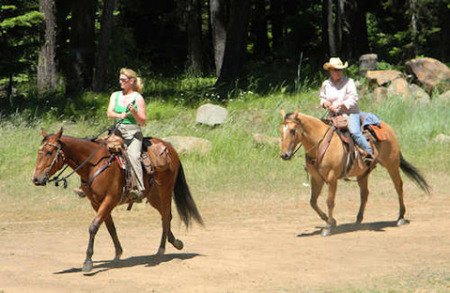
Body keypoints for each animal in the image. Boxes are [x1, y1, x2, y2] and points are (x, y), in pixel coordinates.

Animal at [29, 128, 202, 272]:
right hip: (152, 195)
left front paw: (88, 261)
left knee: (166, 216)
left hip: (165, 190)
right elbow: (110, 227)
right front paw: (118, 253)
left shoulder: (109, 200)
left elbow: (93, 227)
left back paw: (161, 250)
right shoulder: (96, 203)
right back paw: (175, 242)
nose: (36, 179)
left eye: (49, 152)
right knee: (166, 215)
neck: (94, 164)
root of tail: (170, 148)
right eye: (39, 152)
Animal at [280, 109, 430, 235]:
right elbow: (313, 201)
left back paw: (400, 217)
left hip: (391, 164)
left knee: (398, 186)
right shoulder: (316, 179)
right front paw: (331, 220)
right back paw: (358, 220)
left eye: (292, 130)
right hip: (363, 173)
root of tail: (387, 128)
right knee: (364, 194)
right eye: (281, 131)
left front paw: (328, 226)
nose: (284, 155)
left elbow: (330, 201)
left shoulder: (331, 178)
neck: (320, 144)